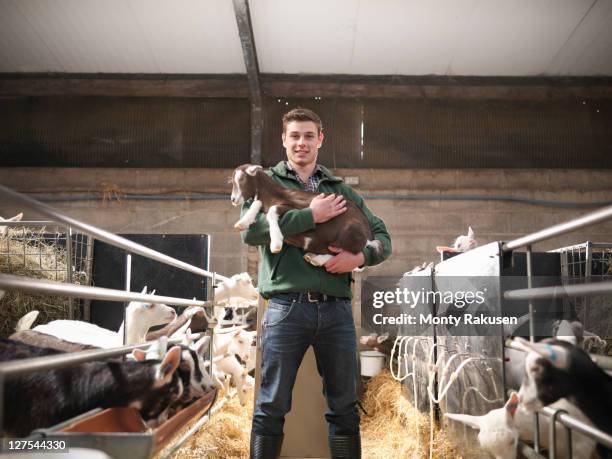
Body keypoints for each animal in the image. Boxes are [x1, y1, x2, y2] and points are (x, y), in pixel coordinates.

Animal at [231, 164, 382, 268]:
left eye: (242, 179)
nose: (233, 199)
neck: (273, 194)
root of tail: (369, 236)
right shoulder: (262, 201)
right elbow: (257, 203)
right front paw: (242, 223)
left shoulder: (292, 206)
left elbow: (272, 210)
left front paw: (276, 242)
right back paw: (313, 258)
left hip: (349, 233)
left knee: (351, 254)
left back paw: (317, 259)